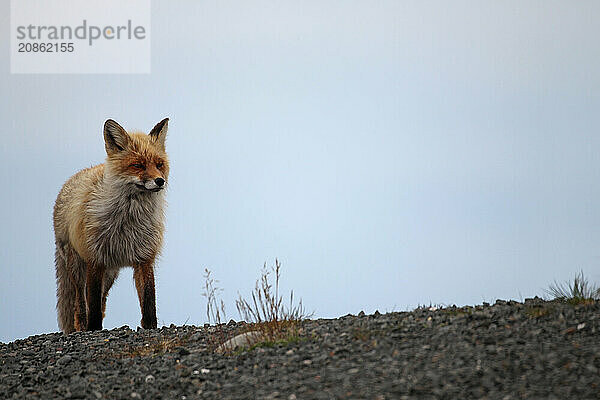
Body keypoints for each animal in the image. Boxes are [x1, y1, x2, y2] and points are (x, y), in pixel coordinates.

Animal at [53, 119, 170, 334]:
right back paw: (82, 327)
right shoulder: (95, 258)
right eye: (138, 165)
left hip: (110, 274)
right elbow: (92, 305)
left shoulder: (144, 257)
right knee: (80, 304)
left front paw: (150, 327)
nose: (160, 181)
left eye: (159, 164)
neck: (128, 221)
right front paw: (93, 329)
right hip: (78, 267)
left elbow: (149, 301)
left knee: (102, 301)